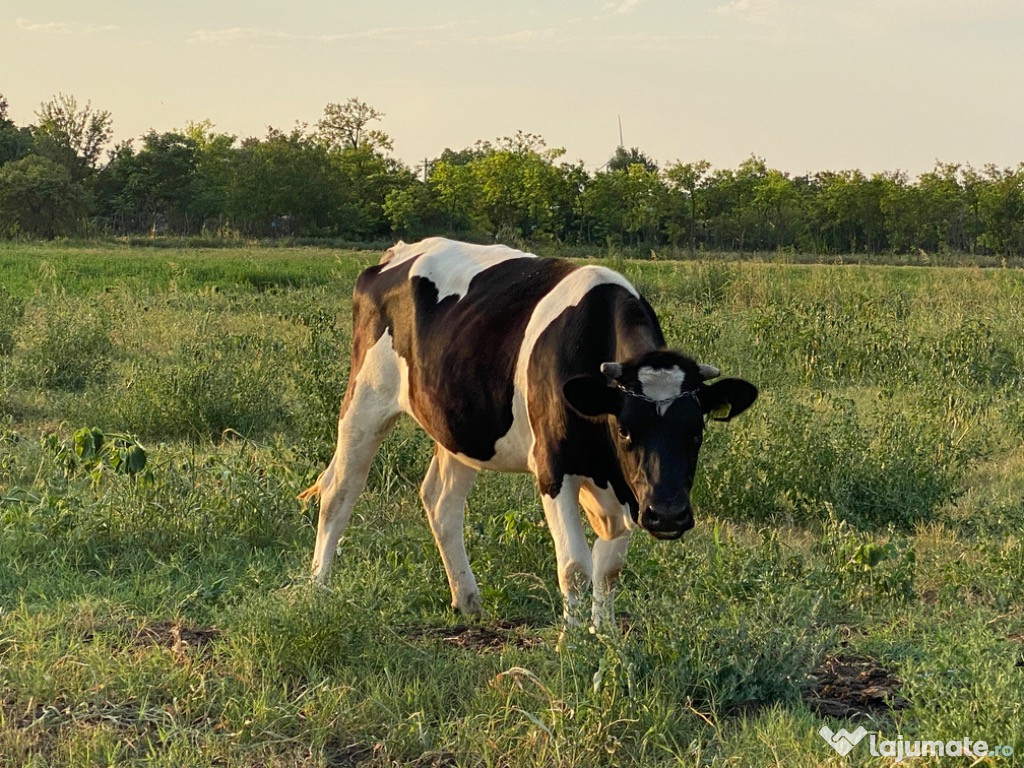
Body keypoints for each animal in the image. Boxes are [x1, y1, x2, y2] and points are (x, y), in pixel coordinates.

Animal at [299, 237, 757, 626]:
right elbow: (575, 567)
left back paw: (467, 600)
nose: (668, 514)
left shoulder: (630, 491)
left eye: (696, 431)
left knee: (441, 501)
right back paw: (318, 588)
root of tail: (397, 253)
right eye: (626, 430)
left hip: (461, 426)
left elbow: (609, 570)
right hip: (366, 399)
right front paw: (573, 645)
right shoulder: (554, 469)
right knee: (339, 489)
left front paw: (605, 639)